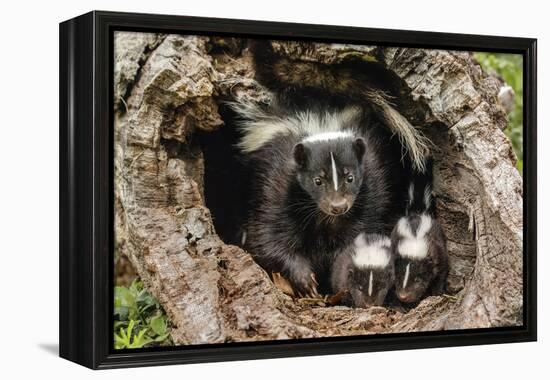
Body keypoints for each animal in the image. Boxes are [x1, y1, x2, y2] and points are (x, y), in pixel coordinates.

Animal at [392, 162, 448, 304]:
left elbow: (441, 272)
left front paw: (437, 293)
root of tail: (417, 212)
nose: (403, 296)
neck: (415, 238)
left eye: (418, 279)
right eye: (398, 277)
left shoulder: (438, 252)